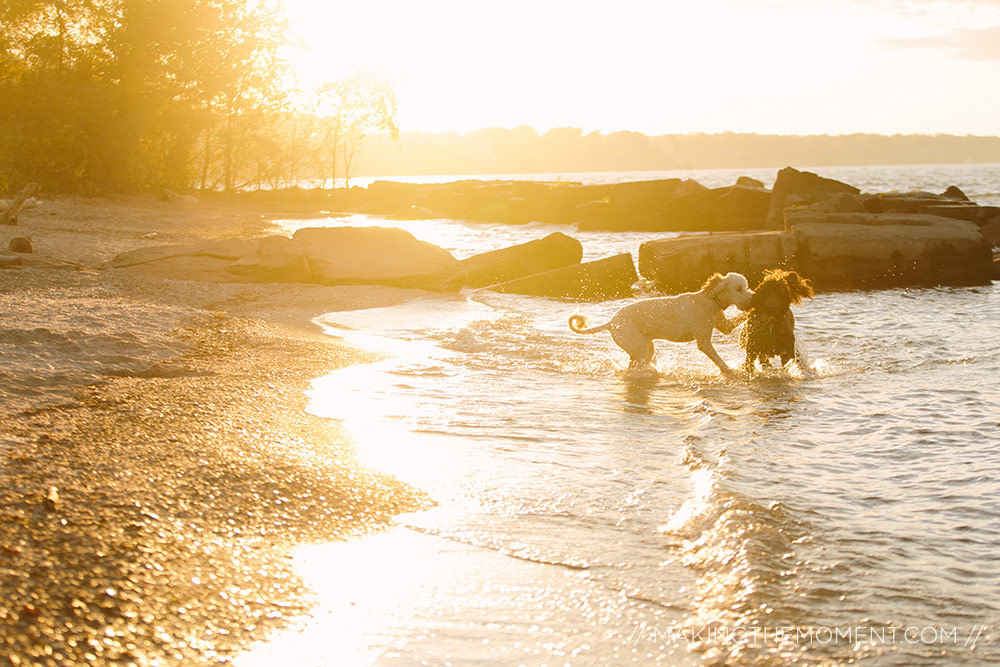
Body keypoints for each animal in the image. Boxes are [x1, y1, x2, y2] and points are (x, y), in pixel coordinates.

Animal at [572, 272, 752, 376]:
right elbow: (718, 360)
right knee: (637, 364)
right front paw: (729, 371)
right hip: (637, 346)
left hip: (645, 346)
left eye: (746, 286)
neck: (710, 300)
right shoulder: (704, 342)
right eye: (739, 289)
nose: (752, 297)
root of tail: (611, 322)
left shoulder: (724, 326)